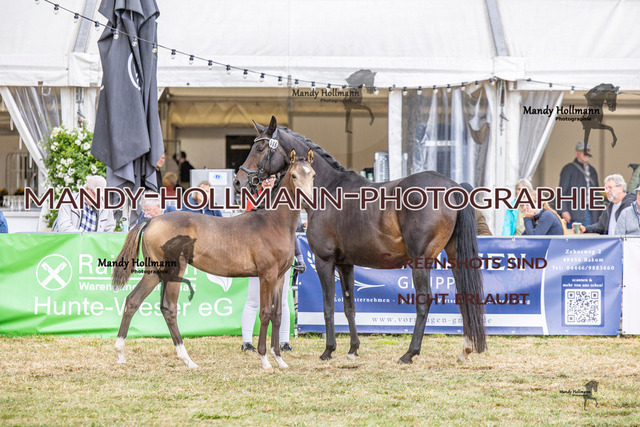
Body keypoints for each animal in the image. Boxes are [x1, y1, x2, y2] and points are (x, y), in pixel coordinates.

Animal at [111, 148, 315, 369]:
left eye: (312, 175)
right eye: (294, 175)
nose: (309, 201)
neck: (273, 223)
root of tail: (152, 221)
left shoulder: (279, 277)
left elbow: (277, 315)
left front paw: (279, 359)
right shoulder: (266, 276)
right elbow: (265, 313)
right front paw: (264, 359)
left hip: (155, 273)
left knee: (133, 300)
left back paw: (121, 353)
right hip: (173, 271)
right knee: (168, 308)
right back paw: (187, 359)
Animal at [234, 116, 486, 364]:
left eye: (259, 148)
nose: (239, 181)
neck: (328, 190)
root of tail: (454, 187)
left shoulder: (324, 260)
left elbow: (328, 305)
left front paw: (328, 350)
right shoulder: (345, 264)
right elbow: (349, 306)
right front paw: (353, 348)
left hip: (420, 260)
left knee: (424, 301)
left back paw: (409, 353)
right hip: (455, 256)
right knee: (464, 296)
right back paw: (465, 349)